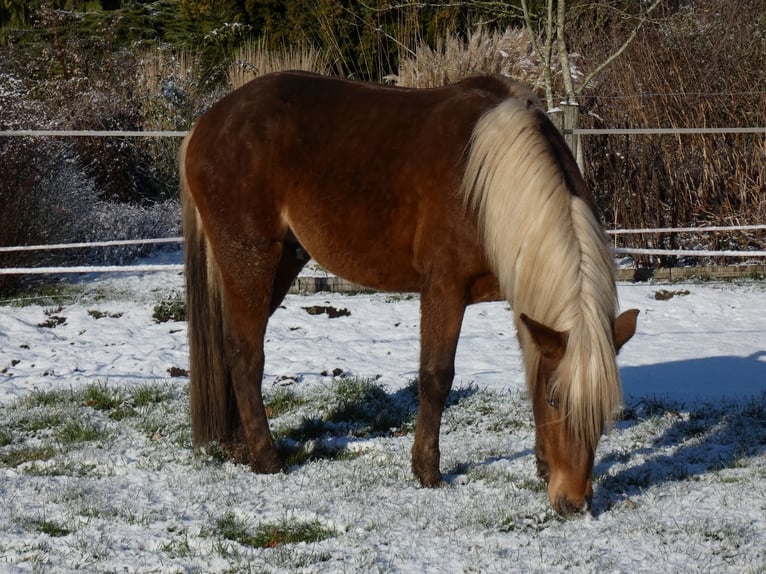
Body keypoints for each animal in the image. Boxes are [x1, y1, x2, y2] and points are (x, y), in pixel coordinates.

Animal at [179, 71, 638, 515]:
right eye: (557, 401)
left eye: (603, 410)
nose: (574, 502)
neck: (488, 181)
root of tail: (206, 124)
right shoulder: (444, 287)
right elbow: (436, 377)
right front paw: (427, 471)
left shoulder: (522, 293)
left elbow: (530, 367)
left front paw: (542, 465)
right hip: (251, 261)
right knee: (245, 354)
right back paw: (266, 457)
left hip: (283, 261)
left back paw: (237, 445)